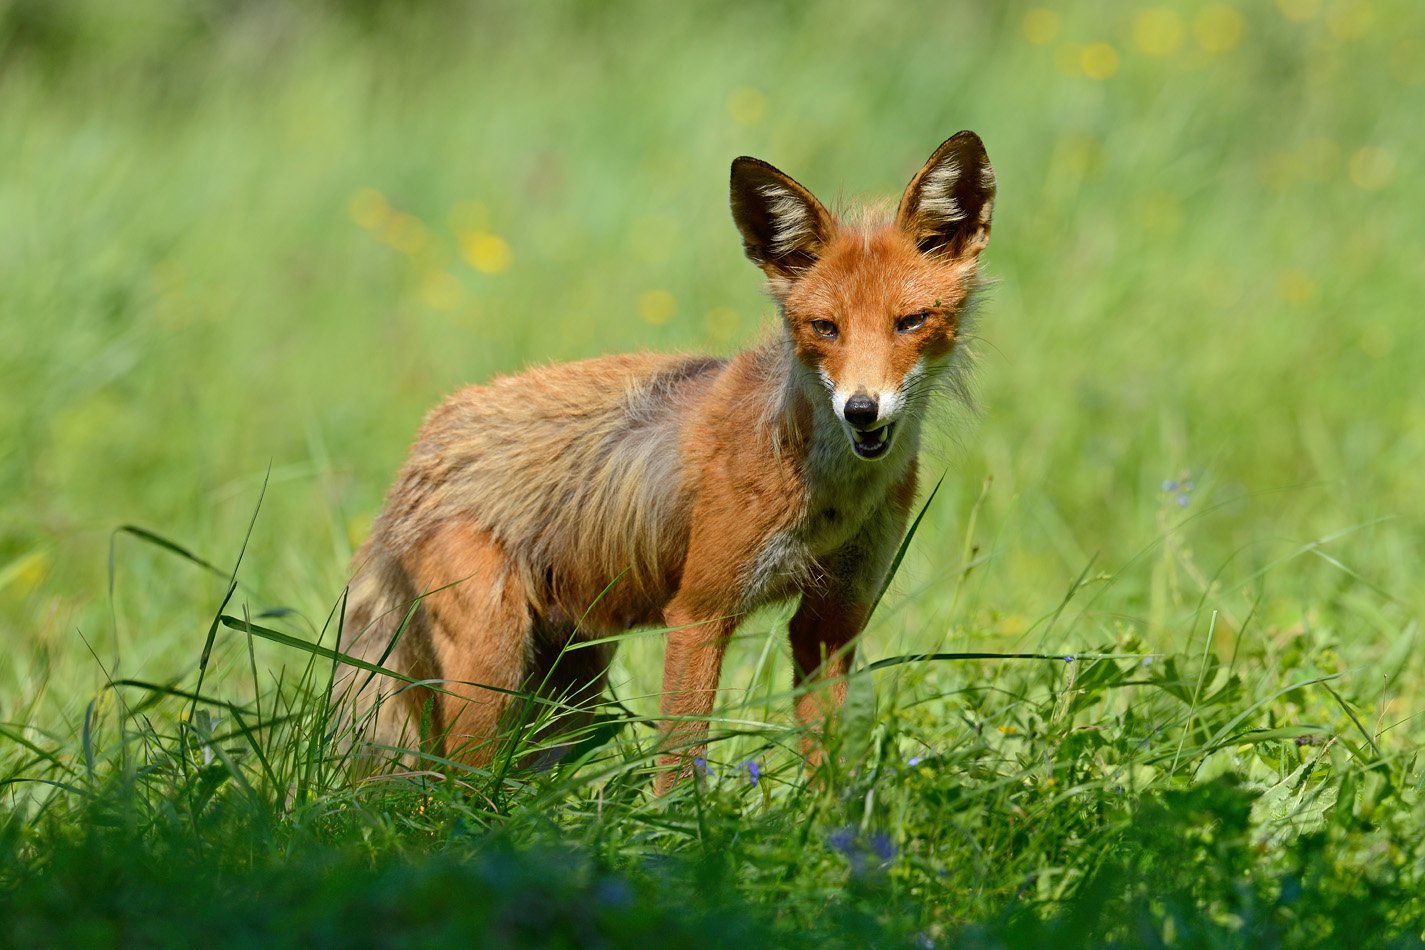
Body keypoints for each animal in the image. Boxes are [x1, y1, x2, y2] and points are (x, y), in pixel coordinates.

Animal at [334, 130, 997, 791]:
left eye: (910, 322)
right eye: (825, 328)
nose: (861, 410)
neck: (831, 500)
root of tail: (424, 444)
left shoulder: (832, 622)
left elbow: (829, 774)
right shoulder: (698, 613)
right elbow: (679, 770)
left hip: (571, 690)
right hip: (491, 673)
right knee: (444, 794)